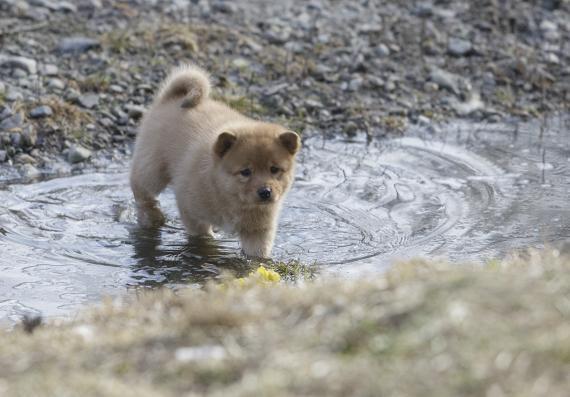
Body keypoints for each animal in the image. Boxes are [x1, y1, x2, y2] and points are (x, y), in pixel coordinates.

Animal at [128, 65, 298, 256]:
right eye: (246, 172)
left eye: (274, 169)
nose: (265, 192)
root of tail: (170, 98)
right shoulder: (192, 212)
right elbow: (203, 237)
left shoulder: (258, 232)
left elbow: (257, 255)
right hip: (153, 169)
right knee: (141, 189)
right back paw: (151, 216)